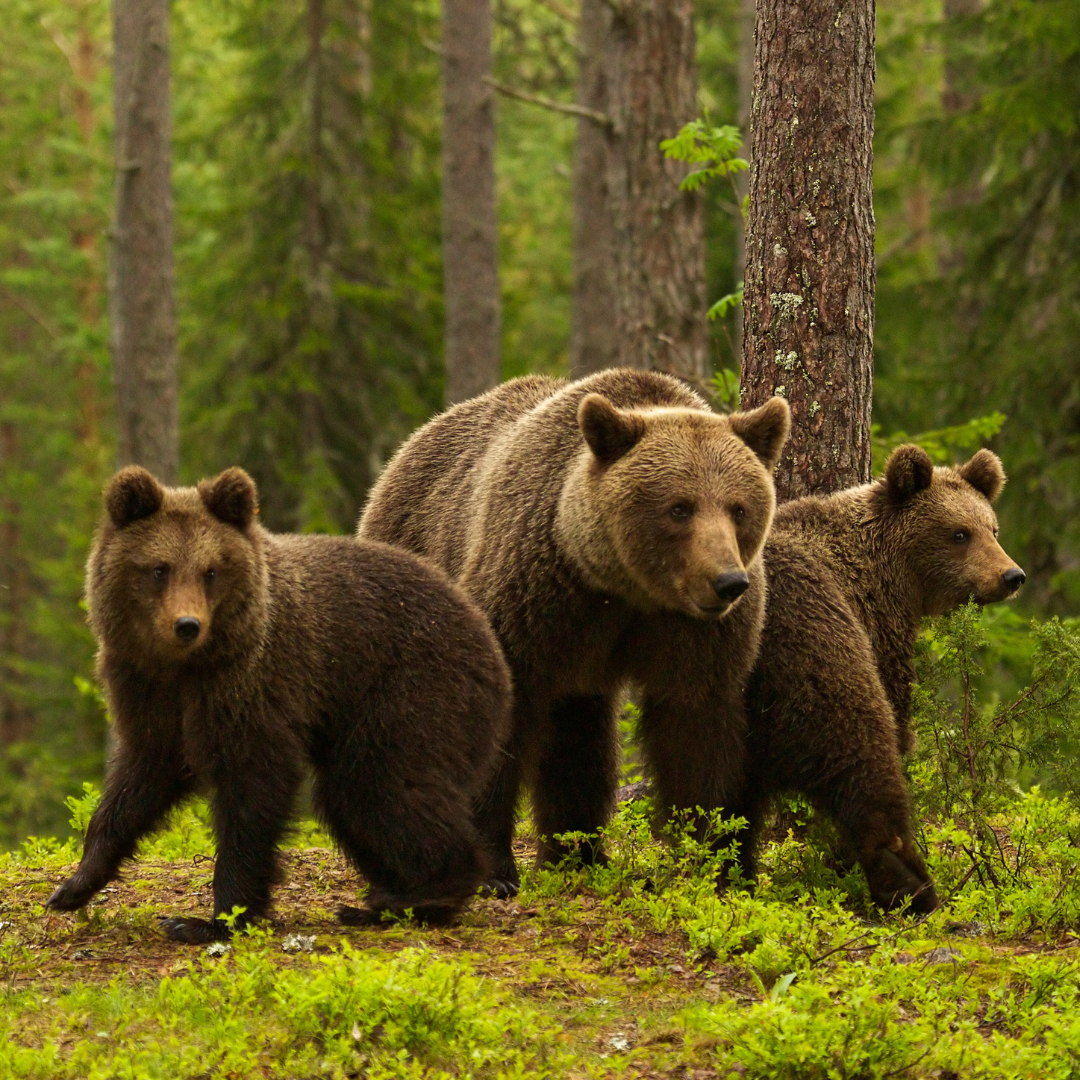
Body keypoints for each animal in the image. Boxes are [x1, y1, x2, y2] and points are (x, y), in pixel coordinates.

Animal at [46, 465, 512, 942]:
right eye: (160, 568)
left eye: (211, 570)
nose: (187, 625)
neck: (186, 666)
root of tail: (490, 644)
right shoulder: (146, 689)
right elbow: (139, 778)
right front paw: (74, 886)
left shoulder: (253, 683)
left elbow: (252, 790)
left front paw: (213, 919)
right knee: (354, 802)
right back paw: (392, 894)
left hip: (411, 691)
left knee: (380, 786)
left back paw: (416, 895)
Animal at [359, 368, 790, 894]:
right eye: (680, 508)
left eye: (739, 508)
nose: (727, 581)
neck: (622, 587)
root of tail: (410, 447)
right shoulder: (533, 598)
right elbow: (498, 716)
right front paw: (493, 872)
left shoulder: (691, 634)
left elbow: (696, 729)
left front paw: (713, 860)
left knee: (579, 738)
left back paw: (578, 852)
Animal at [737, 444, 1025, 913]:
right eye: (959, 533)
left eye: (993, 529)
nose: (1011, 576)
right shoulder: (874, 632)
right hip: (811, 642)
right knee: (859, 750)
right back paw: (911, 883)